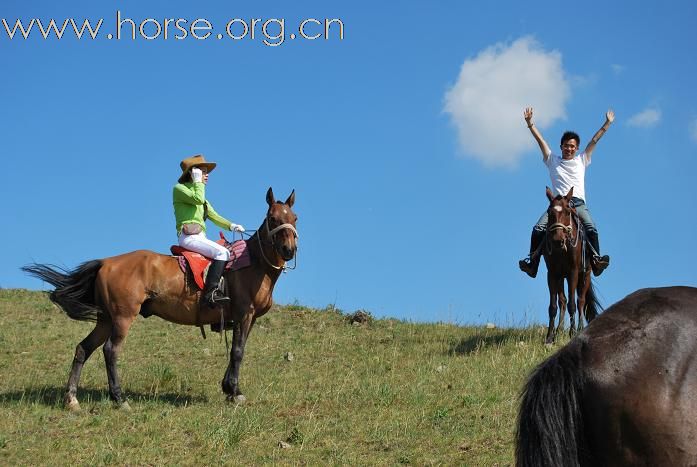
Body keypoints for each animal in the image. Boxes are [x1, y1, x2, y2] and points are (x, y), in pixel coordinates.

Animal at [23, 188, 296, 412]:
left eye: (294, 218)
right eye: (273, 219)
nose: (289, 250)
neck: (254, 264)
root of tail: (107, 262)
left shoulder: (247, 319)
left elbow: (235, 351)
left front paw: (228, 389)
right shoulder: (243, 314)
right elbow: (238, 351)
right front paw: (235, 392)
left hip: (106, 319)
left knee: (83, 348)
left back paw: (72, 399)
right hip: (122, 318)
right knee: (111, 351)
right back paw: (119, 399)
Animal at [540, 186, 600, 344]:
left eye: (568, 211)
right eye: (549, 212)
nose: (557, 240)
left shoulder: (573, 272)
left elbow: (572, 304)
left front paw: (572, 333)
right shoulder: (552, 273)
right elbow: (553, 306)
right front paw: (549, 337)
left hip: (584, 275)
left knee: (580, 301)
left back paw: (579, 329)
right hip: (562, 276)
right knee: (562, 301)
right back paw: (559, 330)